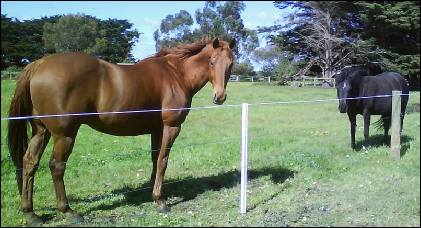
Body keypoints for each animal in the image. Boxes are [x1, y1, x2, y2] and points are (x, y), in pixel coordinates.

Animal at [7, 37, 236, 224]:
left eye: (231, 64)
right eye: (212, 61)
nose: (220, 97)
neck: (176, 74)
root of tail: (38, 64)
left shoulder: (157, 129)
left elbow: (155, 159)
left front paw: (152, 192)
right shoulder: (171, 127)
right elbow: (163, 161)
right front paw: (160, 200)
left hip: (41, 131)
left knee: (30, 163)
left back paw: (31, 213)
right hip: (65, 135)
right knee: (57, 166)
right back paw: (68, 211)